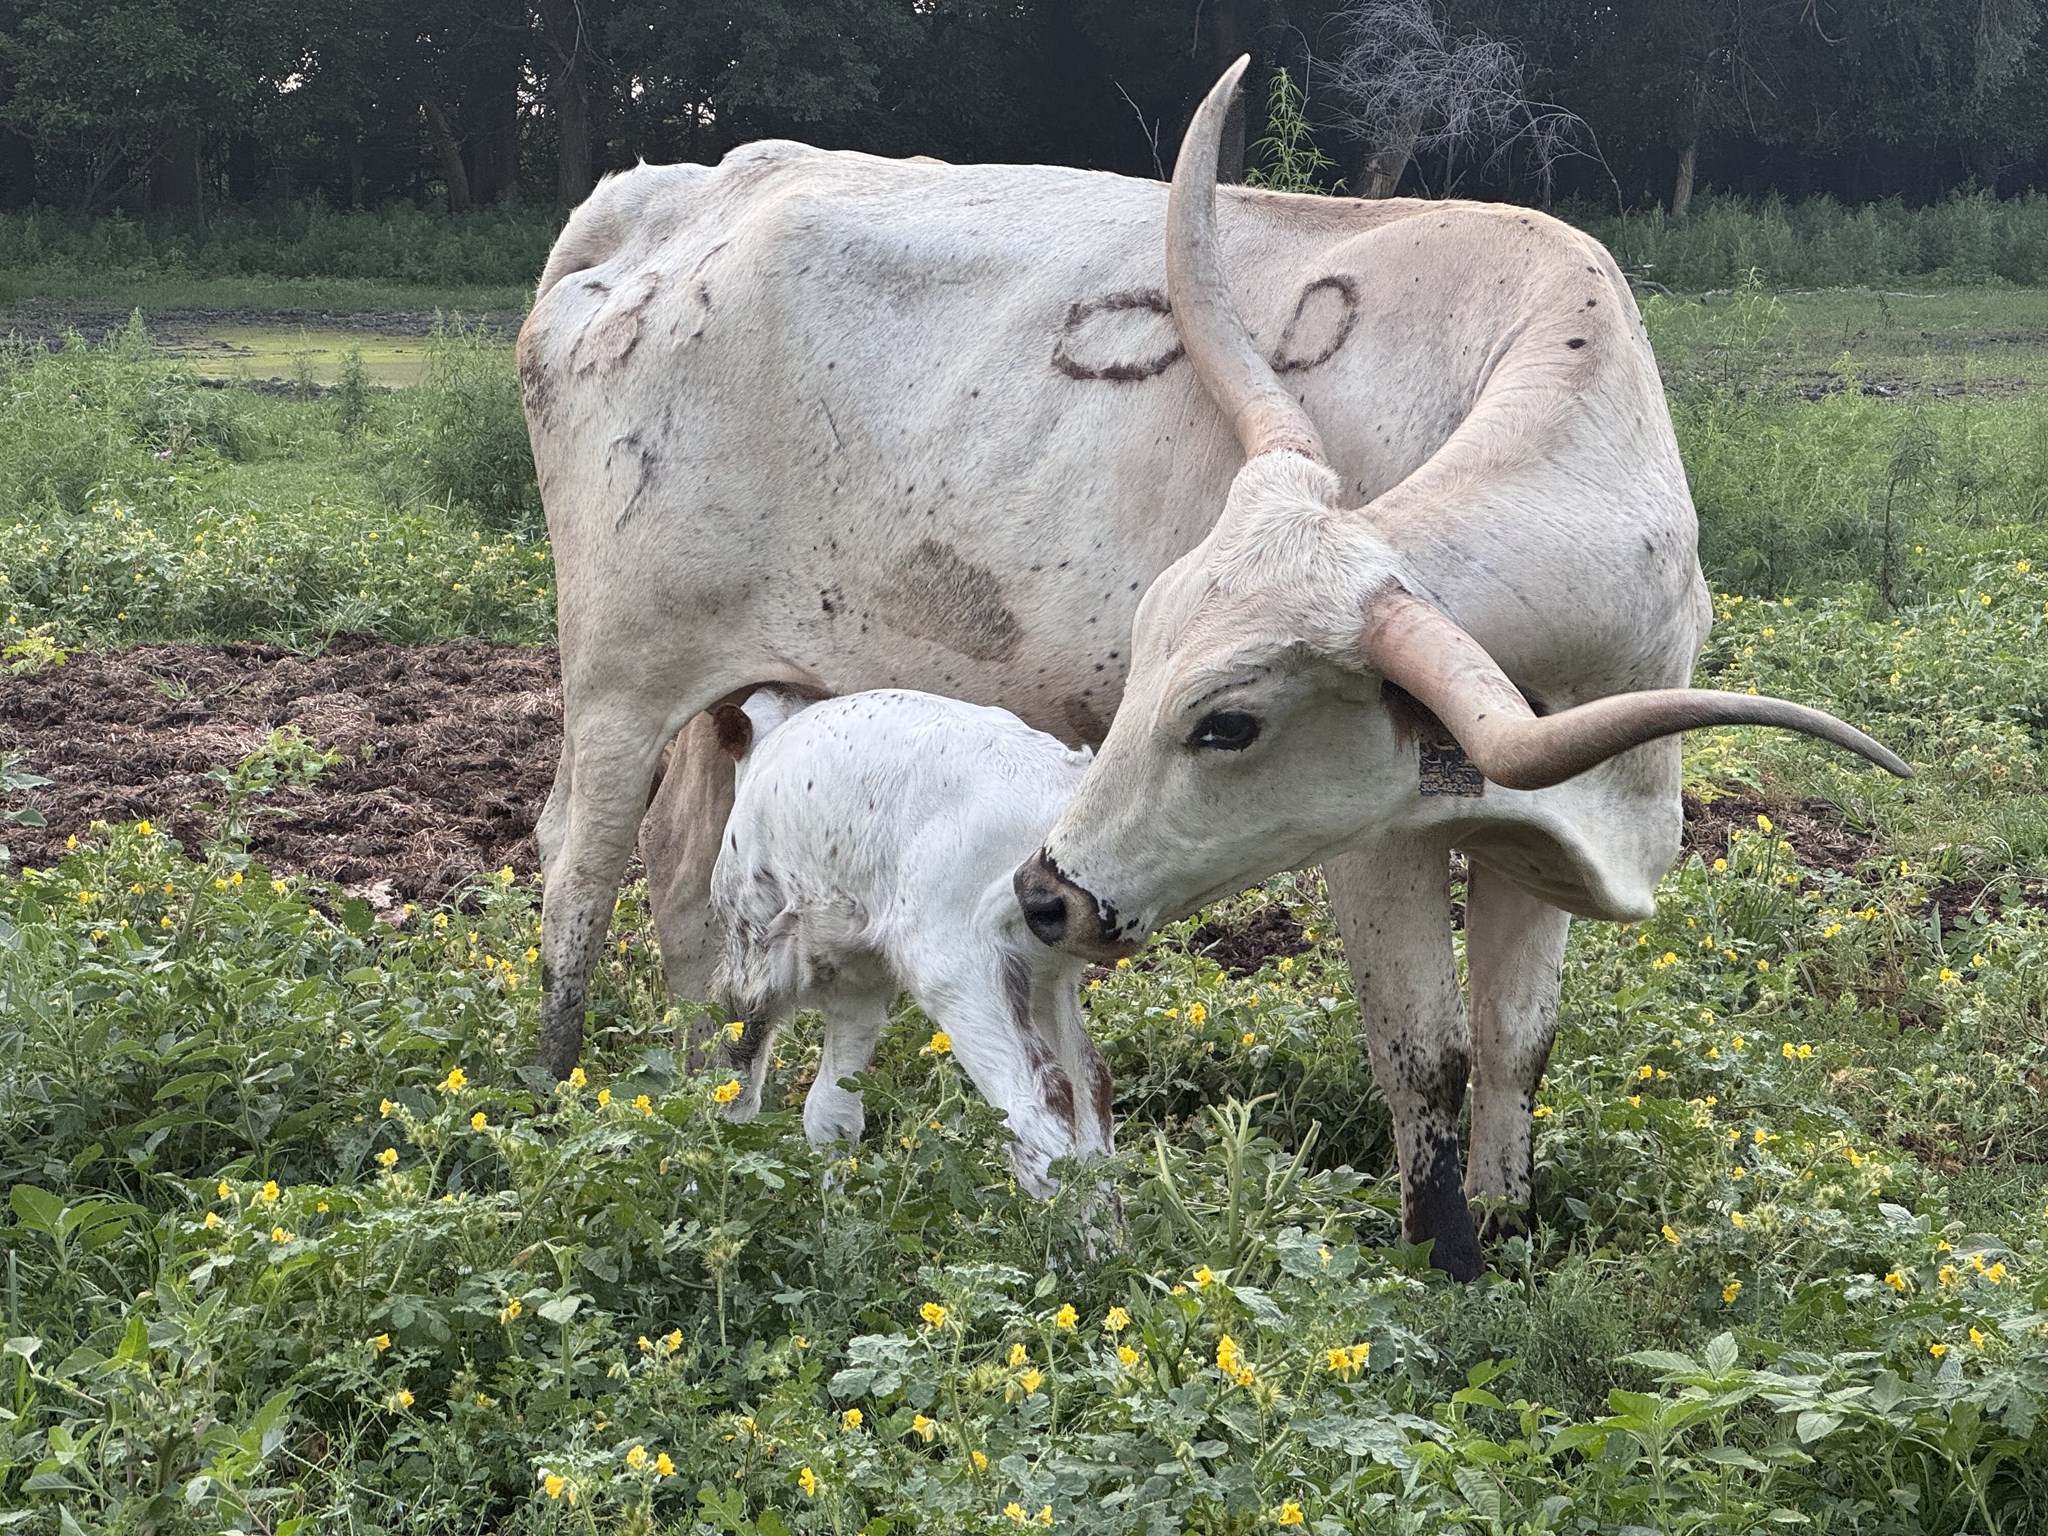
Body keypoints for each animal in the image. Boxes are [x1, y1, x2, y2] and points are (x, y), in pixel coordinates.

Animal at [708, 687, 1113, 1195]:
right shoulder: (858, 979)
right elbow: (831, 1112)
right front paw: (834, 1205)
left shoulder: (752, 940)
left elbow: (737, 1065)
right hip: (1044, 975)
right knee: (1091, 1090)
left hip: (957, 965)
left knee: (1039, 1114)